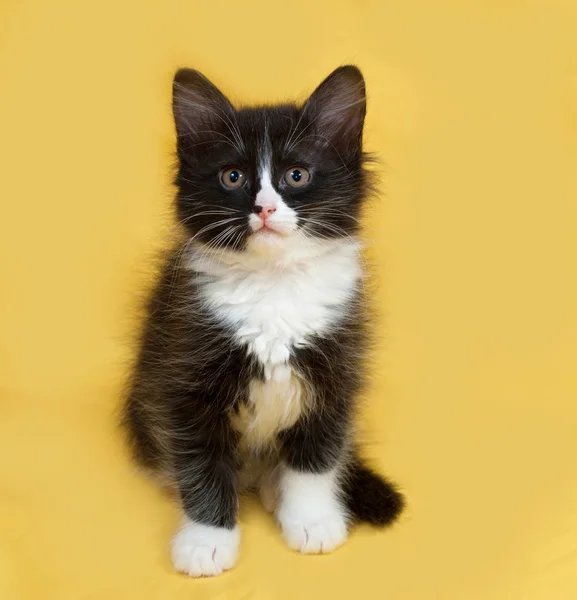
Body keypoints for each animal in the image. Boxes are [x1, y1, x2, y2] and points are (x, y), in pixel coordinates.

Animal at [124, 64, 402, 576]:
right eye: (233, 177)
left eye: (297, 175)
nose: (266, 208)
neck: (274, 285)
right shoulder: (183, 375)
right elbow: (200, 462)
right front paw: (207, 539)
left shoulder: (338, 367)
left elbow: (317, 455)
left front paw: (311, 520)